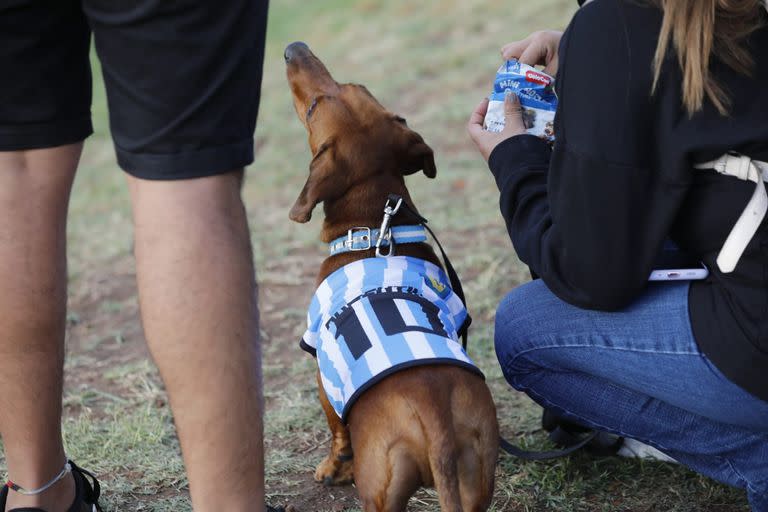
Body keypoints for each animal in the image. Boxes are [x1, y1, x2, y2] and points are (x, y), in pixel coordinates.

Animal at [284, 44, 498, 512]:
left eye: (312, 108)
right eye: (358, 85)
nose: (293, 49)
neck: (376, 227)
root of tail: (433, 412)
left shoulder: (323, 370)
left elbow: (338, 431)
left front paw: (333, 468)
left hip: (382, 489)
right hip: (476, 472)